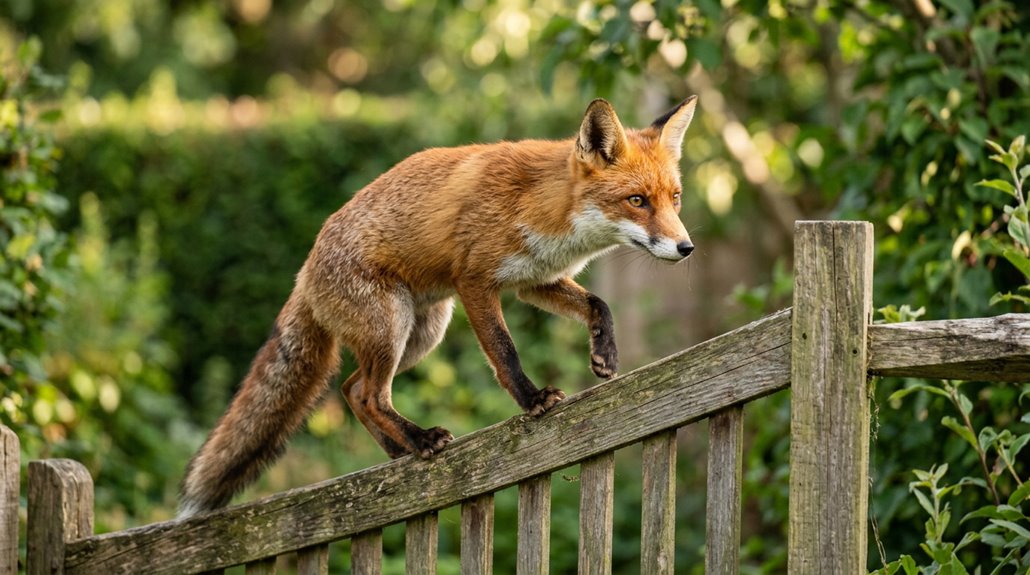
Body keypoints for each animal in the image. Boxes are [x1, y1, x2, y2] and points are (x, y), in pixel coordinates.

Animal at [179, 96, 698, 517]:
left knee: (352, 388)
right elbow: (505, 352)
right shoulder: (475, 282)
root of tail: (303, 274)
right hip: (394, 325)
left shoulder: (534, 281)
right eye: (637, 200)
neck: (546, 208)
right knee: (373, 394)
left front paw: (604, 354)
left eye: (674, 199)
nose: (686, 248)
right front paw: (532, 400)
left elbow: (599, 304)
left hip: (421, 333)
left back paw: (399, 450)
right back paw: (420, 439)